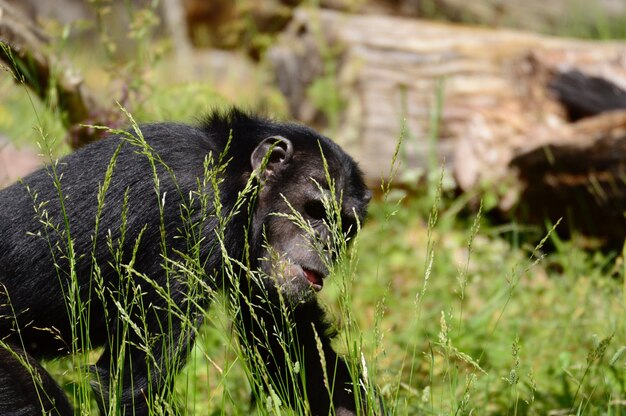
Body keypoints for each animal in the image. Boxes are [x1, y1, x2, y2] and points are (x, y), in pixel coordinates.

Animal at [0, 109, 370, 416]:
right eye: (316, 211)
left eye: (345, 227)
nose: (327, 244)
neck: (233, 183)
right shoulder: (188, 218)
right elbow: (137, 385)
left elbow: (296, 354)